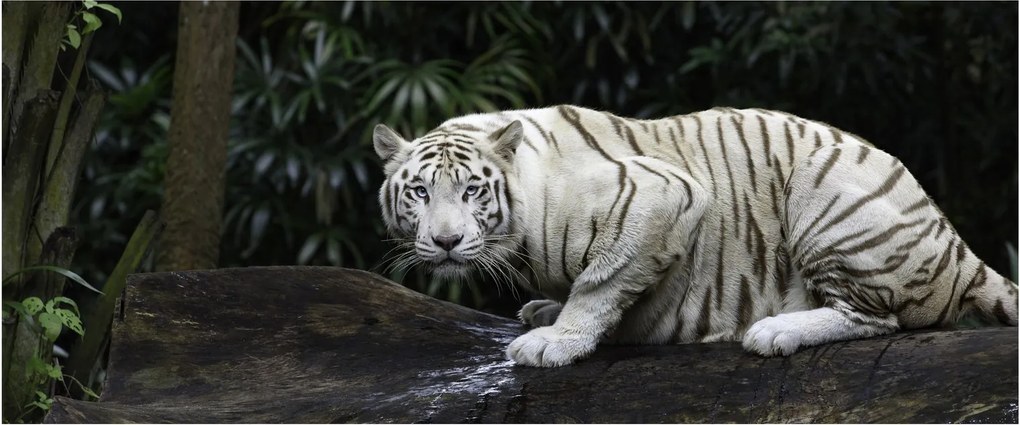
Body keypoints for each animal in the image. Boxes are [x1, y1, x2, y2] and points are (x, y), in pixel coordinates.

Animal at [373, 105, 1018, 367]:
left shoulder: (665, 195)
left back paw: (776, 330)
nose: (446, 242)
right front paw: (544, 312)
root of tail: (956, 245)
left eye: (472, 192)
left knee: (880, 318)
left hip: (824, 187)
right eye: (420, 193)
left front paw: (556, 340)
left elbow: (600, 282)